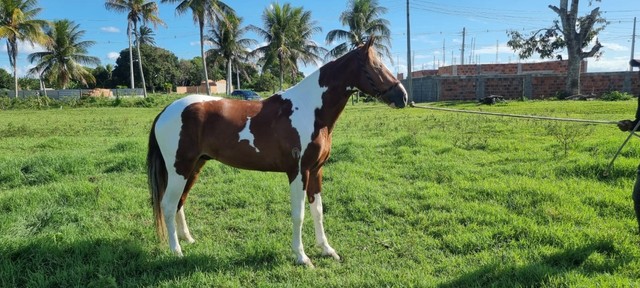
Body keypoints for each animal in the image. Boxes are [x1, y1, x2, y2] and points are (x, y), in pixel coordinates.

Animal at [148, 37, 408, 266]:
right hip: (180, 168)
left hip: (195, 166)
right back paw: (177, 251)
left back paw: (188, 240)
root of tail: (165, 111)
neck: (311, 111)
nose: (403, 97)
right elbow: (299, 214)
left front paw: (327, 250)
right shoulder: (298, 172)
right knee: (168, 205)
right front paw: (302, 257)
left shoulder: (316, 171)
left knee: (180, 202)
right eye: (377, 66)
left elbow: (318, 211)